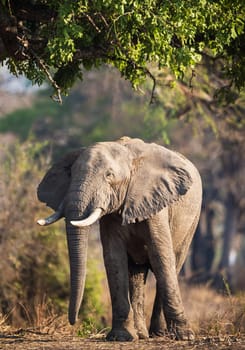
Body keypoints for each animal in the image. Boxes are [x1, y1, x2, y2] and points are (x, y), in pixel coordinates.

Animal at [36, 137, 201, 342]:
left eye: (109, 176)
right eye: (71, 174)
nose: (72, 321)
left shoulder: (155, 203)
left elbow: (161, 257)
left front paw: (185, 337)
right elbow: (114, 259)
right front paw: (120, 337)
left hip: (192, 223)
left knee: (173, 264)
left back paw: (159, 334)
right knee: (136, 274)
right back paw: (142, 334)